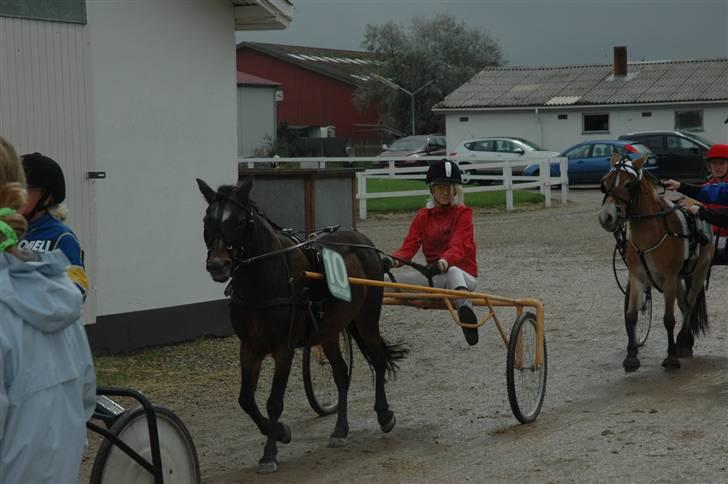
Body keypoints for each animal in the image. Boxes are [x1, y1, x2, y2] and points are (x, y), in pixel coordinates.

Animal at [196, 176, 406, 470]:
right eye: (207, 220)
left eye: (237, 221)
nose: (217, 264)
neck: (266, 280)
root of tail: (364, 242)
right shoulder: (249, 347)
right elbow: (246, 399)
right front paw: (280, 432)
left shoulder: (283, 347)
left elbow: (274, 401)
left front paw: (270, 452)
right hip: (330, 330)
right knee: (341, 374)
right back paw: (340, 429)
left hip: (366, 318)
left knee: (377, 360)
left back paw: (384, 415)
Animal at [600, 154, 712, 370]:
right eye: (604, 183)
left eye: (628, 184)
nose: (606, 217)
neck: (652, 233)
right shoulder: (637, 276)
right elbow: (632, 315)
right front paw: (631, 356)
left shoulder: (669, 278)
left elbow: (669, 319)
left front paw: (671, 357)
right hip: (679, 279)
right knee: (684, 304)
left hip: (699, 272)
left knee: (690, 304)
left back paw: (683, 341)